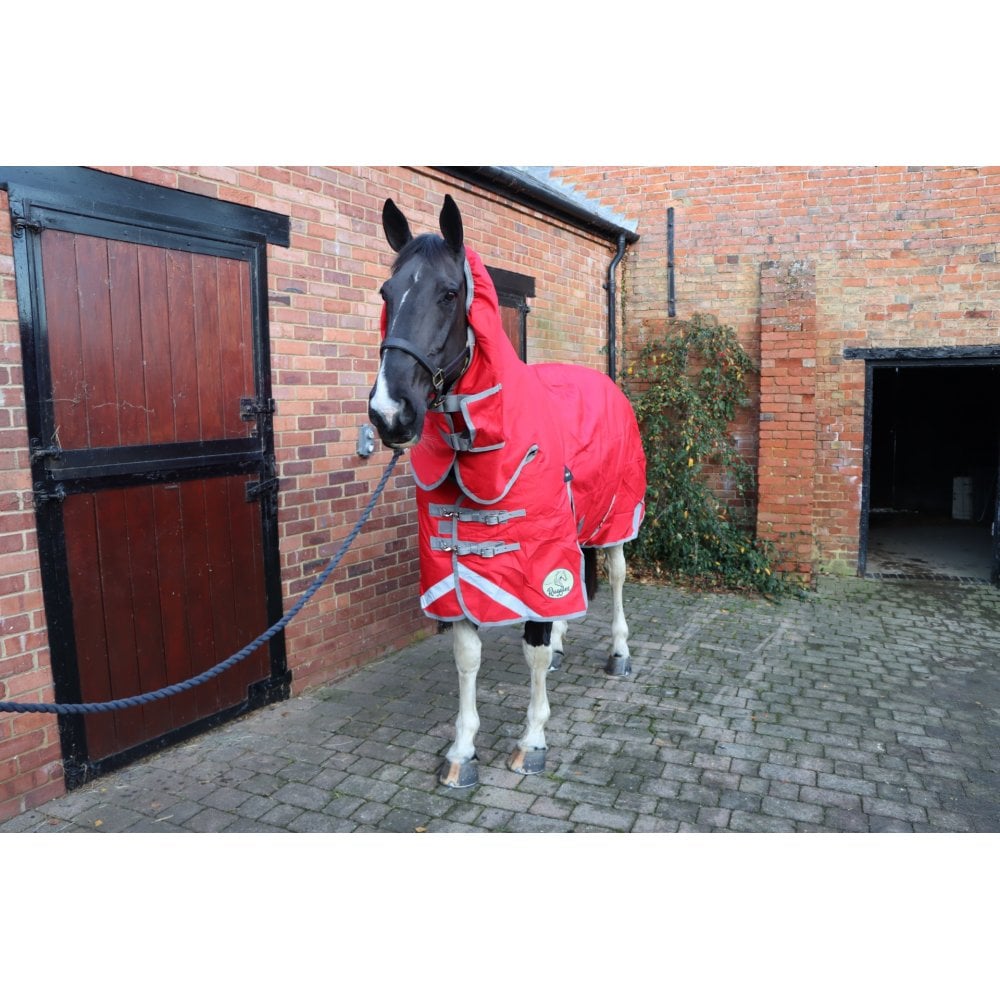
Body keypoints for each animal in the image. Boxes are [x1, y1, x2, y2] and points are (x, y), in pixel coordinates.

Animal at [368, 194, 646, 787]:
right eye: (386, 292)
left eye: (449, 293)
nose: (389, 413)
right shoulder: (453, 569)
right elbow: (468, 656)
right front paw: (462, 751)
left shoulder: (540, 554)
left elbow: (532, 650)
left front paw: (532, 740)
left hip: (614, 518)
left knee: (612, 575)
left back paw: (618, 653)